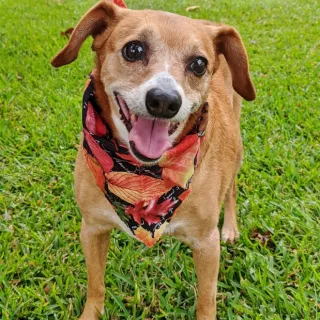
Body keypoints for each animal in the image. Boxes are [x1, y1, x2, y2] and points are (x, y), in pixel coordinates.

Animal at [51, 1, 255, 318]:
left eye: (199, 64)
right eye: (133, 49)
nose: (164, 101)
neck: (144, 174)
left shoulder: (206, 244)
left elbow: (206, 301)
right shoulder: (93, 228)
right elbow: (96, 287)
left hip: (236, 152)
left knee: (231, 189)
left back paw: (231, 228)